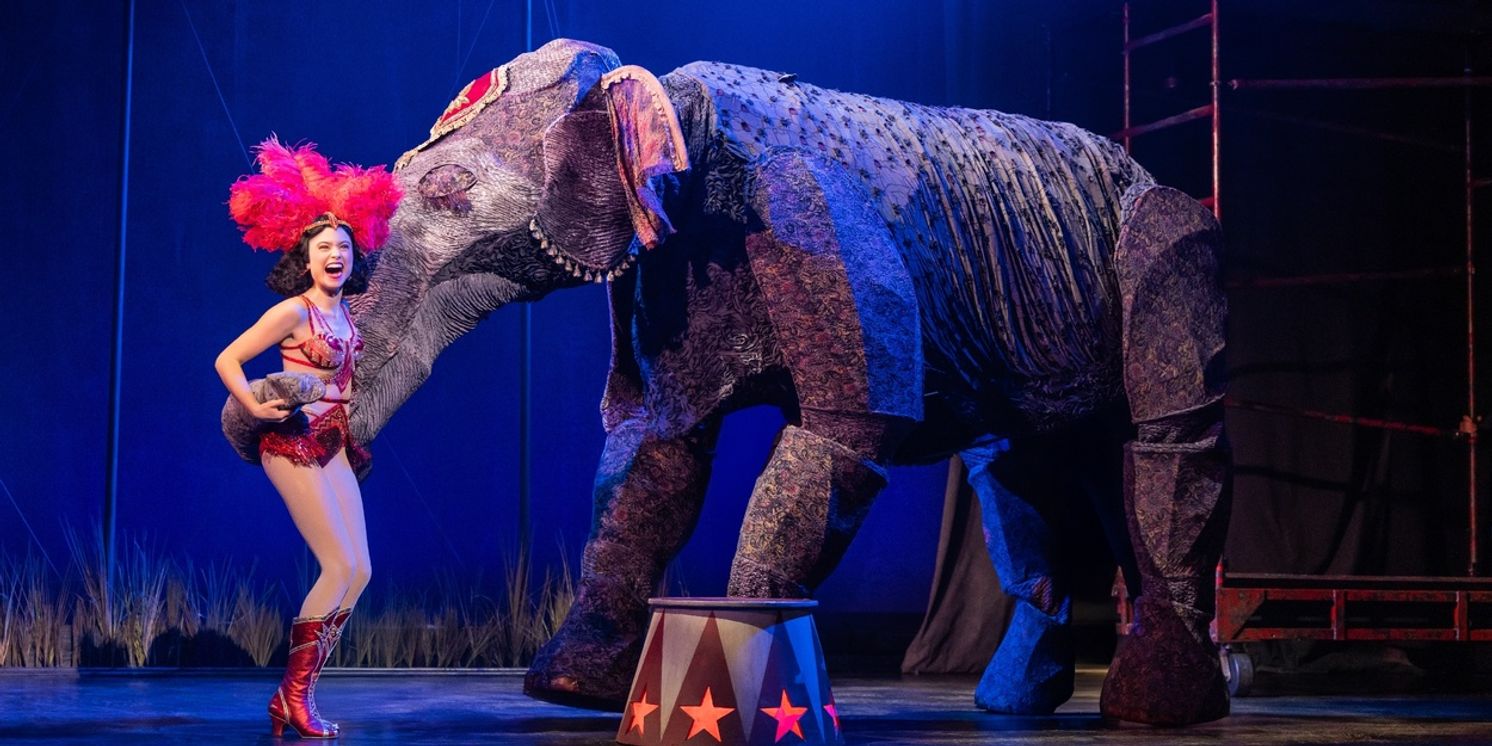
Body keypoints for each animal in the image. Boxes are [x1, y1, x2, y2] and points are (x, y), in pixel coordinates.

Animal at [329, 38, 1230, 726]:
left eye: (448, 190)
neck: (675, 106)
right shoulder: (667, 269)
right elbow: (654, 450)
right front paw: (568, 688)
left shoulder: (809, 205)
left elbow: (845, 431)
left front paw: (739, 666)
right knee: (1018, 476)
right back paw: (1015, 703)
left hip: (1165, 239)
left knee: (1168, 436)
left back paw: (1160, 707)